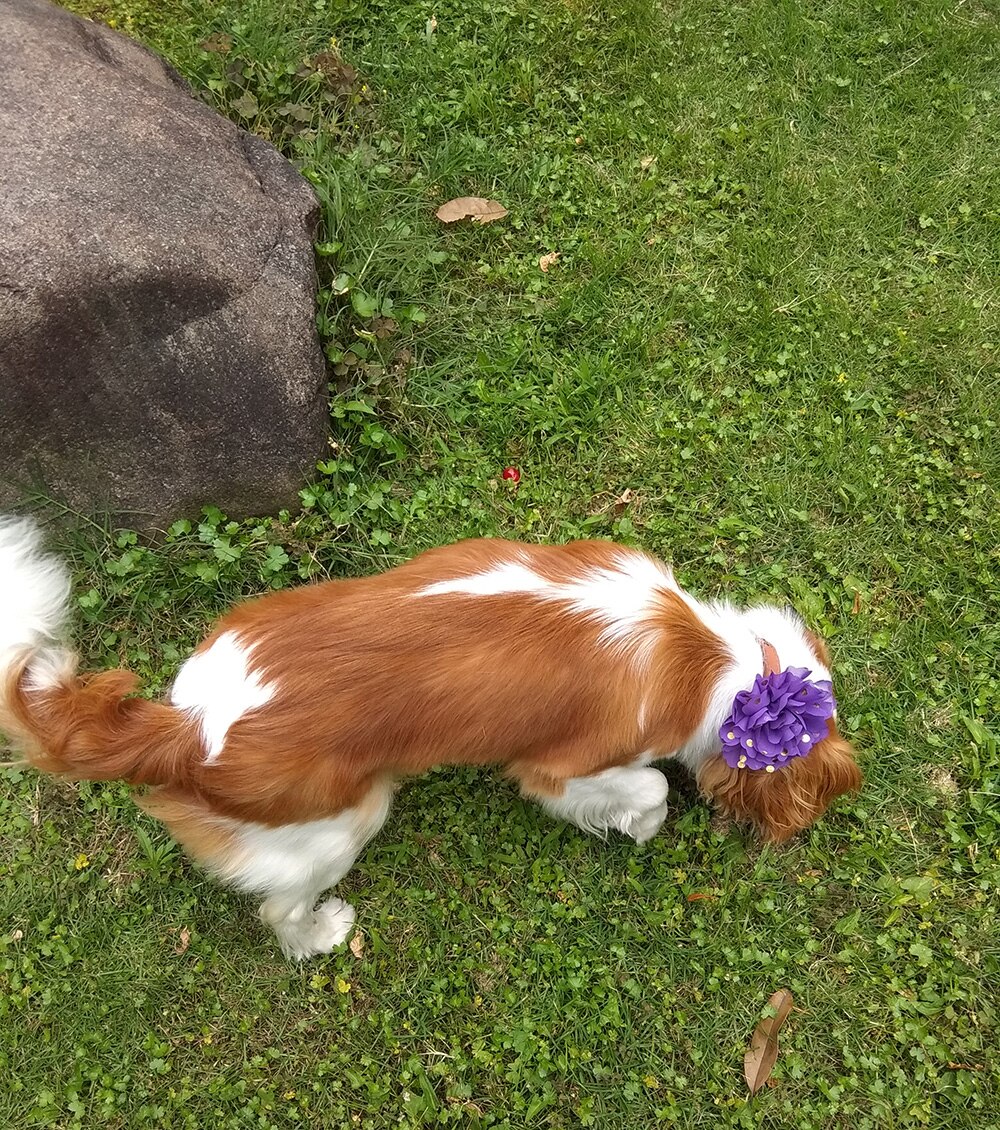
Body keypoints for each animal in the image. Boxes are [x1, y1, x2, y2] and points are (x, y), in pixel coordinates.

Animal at [0, 518, 860, 958]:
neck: (706, 655)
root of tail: (188, 728)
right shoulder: (559, 767)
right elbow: (642, 786)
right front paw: (637, 824)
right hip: (342, 819)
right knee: (278, 909)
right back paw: (320, 932)